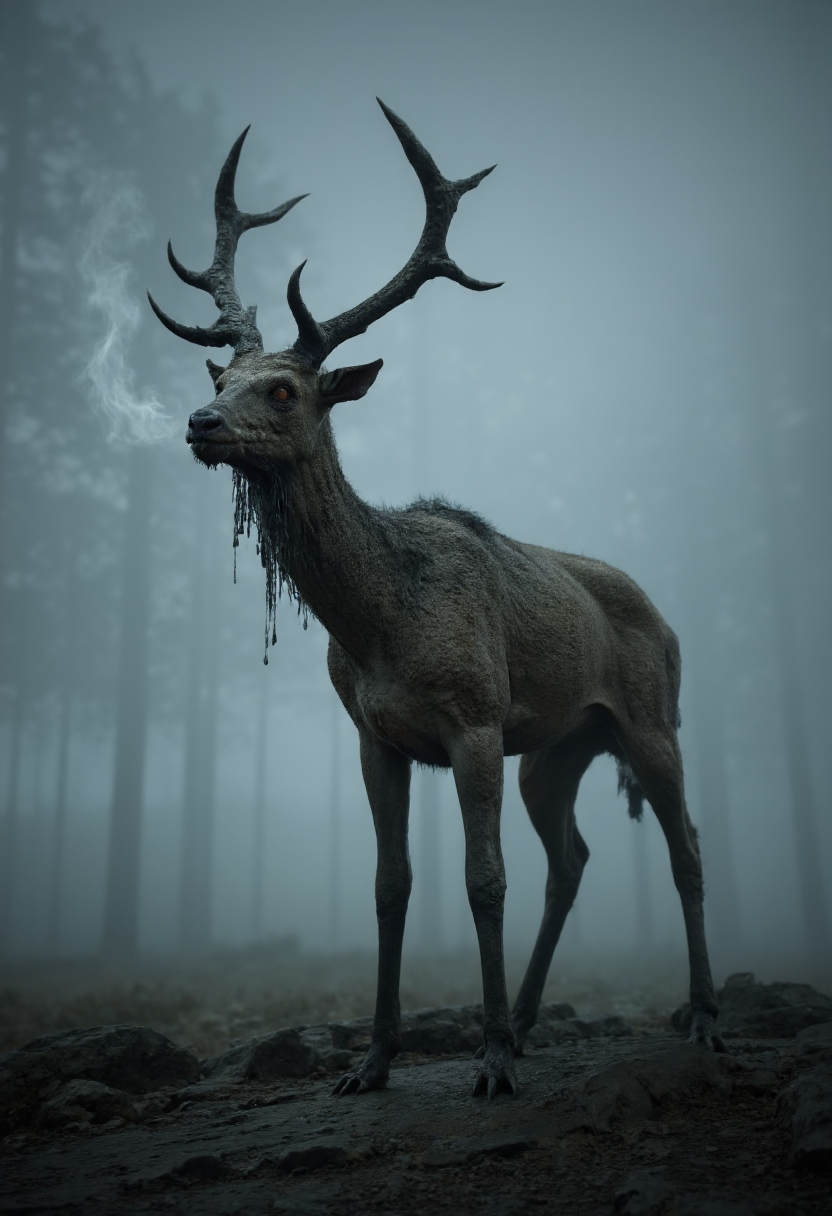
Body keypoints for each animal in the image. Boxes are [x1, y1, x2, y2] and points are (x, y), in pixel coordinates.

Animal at [149, 99, 724, 1100]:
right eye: (218, 378)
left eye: (283, 388)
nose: (200, 422)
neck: (378, 626)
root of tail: (668, 619)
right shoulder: (376, 738)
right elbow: (391, 887)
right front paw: (374, 1061)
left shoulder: (476, 718)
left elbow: (482, 878)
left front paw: (485, 1059)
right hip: (561, 746)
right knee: (573, 859)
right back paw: (530, 1021)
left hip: (654, 718)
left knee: (684, 845)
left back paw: (697, 1014)